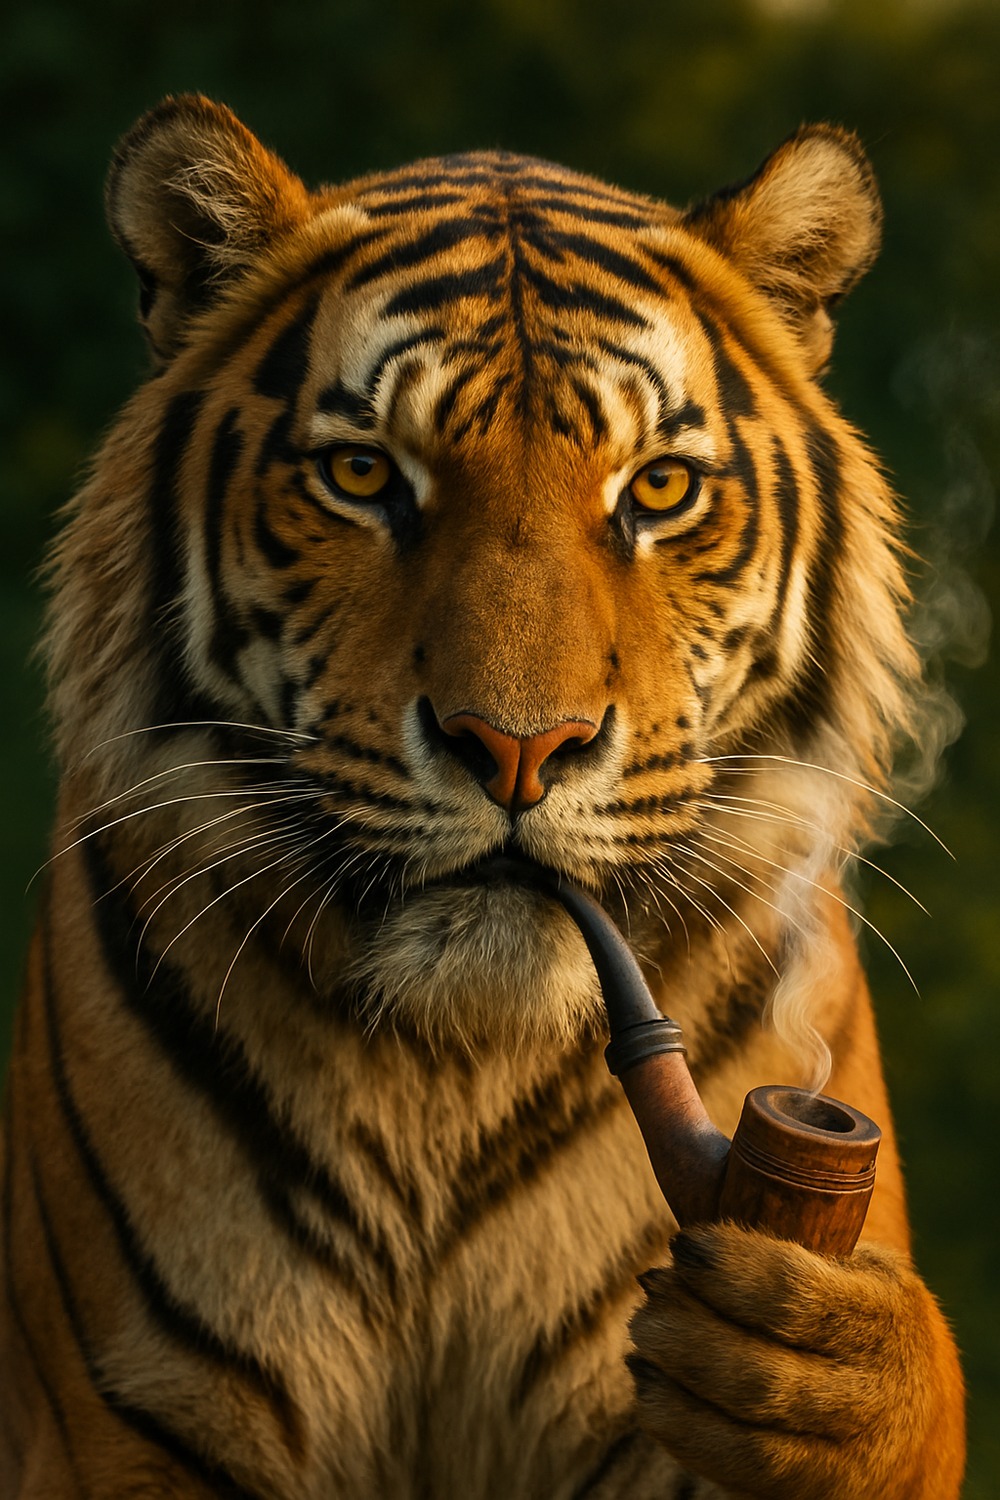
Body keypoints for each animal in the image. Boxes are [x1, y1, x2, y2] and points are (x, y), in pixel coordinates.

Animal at [0, 93, 965, 1498]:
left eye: (657, 489)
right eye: (362, 476)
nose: (518, 748)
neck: (453, 1076)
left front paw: (823, 1372)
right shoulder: (129, 1421)